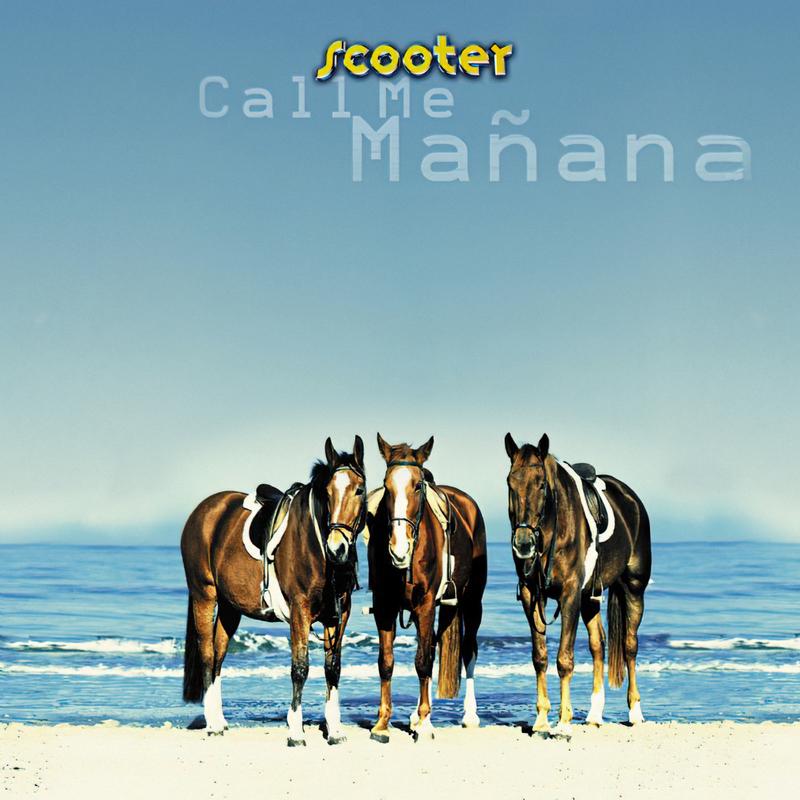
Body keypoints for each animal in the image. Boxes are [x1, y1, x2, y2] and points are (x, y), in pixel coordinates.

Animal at [180, 436, 367, 745]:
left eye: (360, 490)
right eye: (327, 492)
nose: (337, 548)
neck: (316, 545)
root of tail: (203, 511)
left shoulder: (339, 615)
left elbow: (333, 668)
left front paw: (335, 730)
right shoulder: (300, 611)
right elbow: (300, 668)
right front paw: (295, 731)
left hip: (230, 607)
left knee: (218, 655)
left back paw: (220, 719)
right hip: (204, 595)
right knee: (207, 654)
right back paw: (212, 724)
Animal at [367, 434, 488, 742]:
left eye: (417, 485)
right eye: (386, 486)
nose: (398, 549)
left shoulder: (424, 605)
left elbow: (422, 661)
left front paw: (425, 724)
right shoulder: (385, 607)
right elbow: (386, 662)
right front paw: (382, 723)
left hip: (471, 603)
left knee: (467, 651)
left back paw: (469, 716)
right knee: (432, 646)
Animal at [504, 432, 652, 735]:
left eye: (541, 485)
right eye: (510, 483)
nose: (523, 544)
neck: (552, 530)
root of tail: (631, 499)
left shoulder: (569, 594)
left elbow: (564, 659)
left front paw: (563, 724)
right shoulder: (532, 595)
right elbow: (540, 656)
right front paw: (541, 719)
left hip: (633, 589)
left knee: (630, 646)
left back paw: (635, 713)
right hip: (590, 598)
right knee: (599, 644)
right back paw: (595, 714)